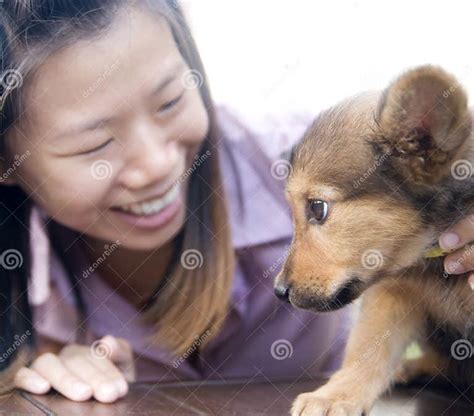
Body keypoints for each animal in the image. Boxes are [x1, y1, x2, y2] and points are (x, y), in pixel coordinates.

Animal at [274, 66, 474, 416]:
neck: (429, 252)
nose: (279, 291)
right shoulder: (393, 293)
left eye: (317, 208)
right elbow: (366, 350)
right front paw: (335, 395)